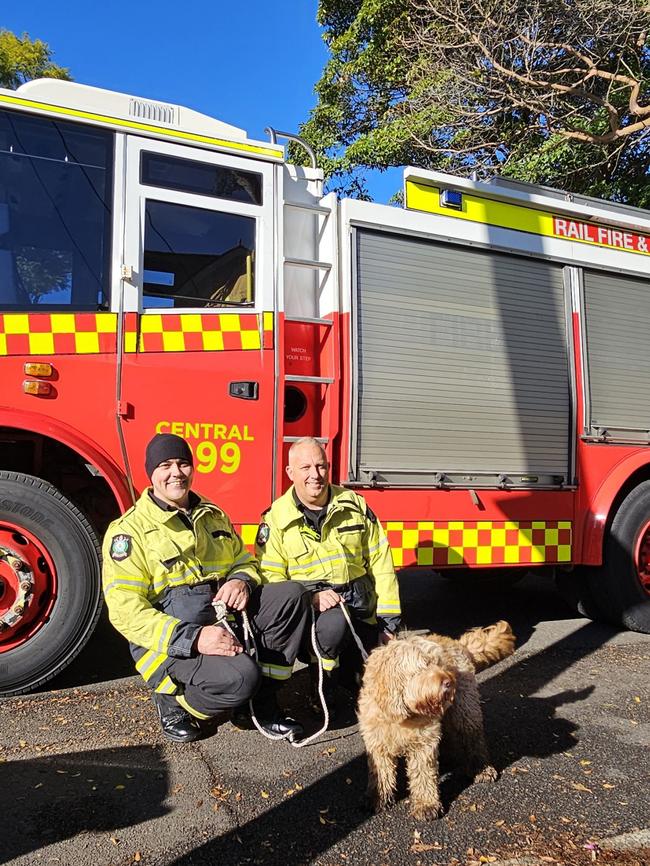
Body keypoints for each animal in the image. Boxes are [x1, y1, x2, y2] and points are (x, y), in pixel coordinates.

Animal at [356, 620, 512, 816]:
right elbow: (380, 773)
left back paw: (481, 768)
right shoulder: (377, 744)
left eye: (438, 663)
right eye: (423, 666)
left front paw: (426, 804)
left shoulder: (423, 743)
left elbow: (424, 774)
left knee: (473, 738)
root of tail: (458, 644)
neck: (401, 716)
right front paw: (376, 798)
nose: (449, 682)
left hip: (465, 709)